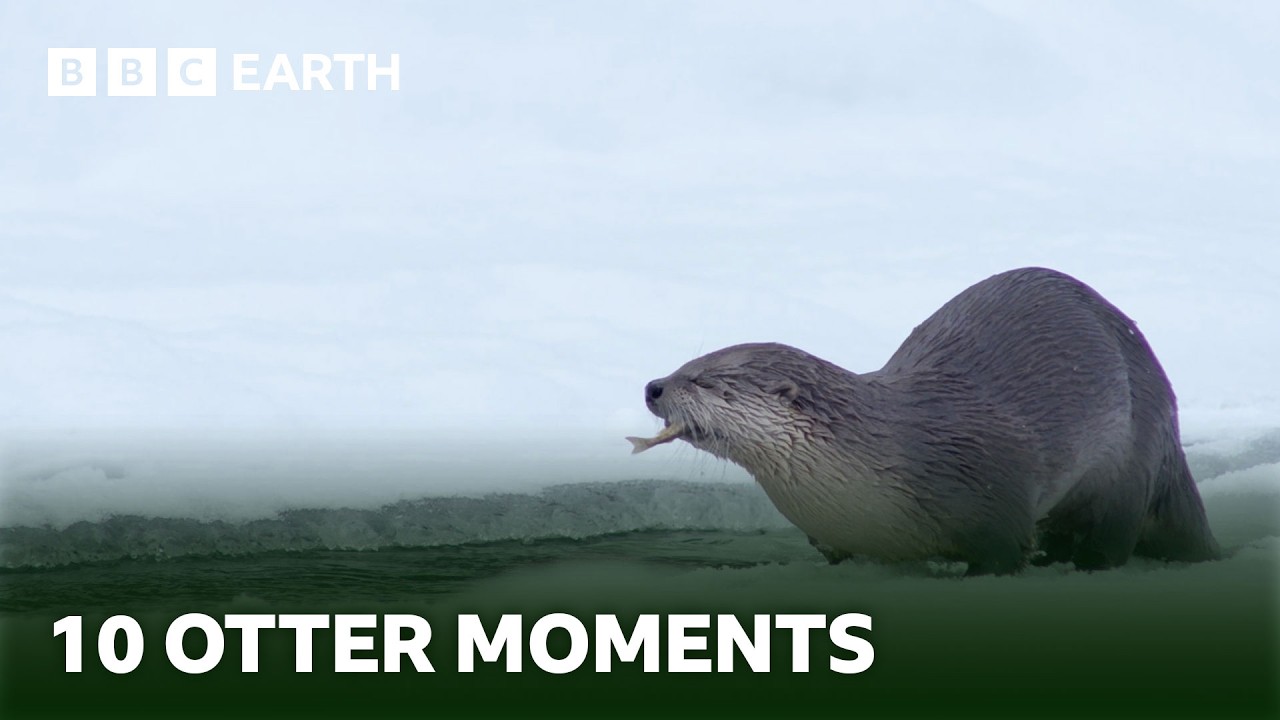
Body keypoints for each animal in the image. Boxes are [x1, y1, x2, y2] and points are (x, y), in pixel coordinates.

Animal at [629, 267, 1219, 575]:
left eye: (704, 380)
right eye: (682, 365)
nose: (653, 387)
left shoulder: (991, 497)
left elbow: (1002, 554)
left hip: (1128, 462)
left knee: (1112, 534)